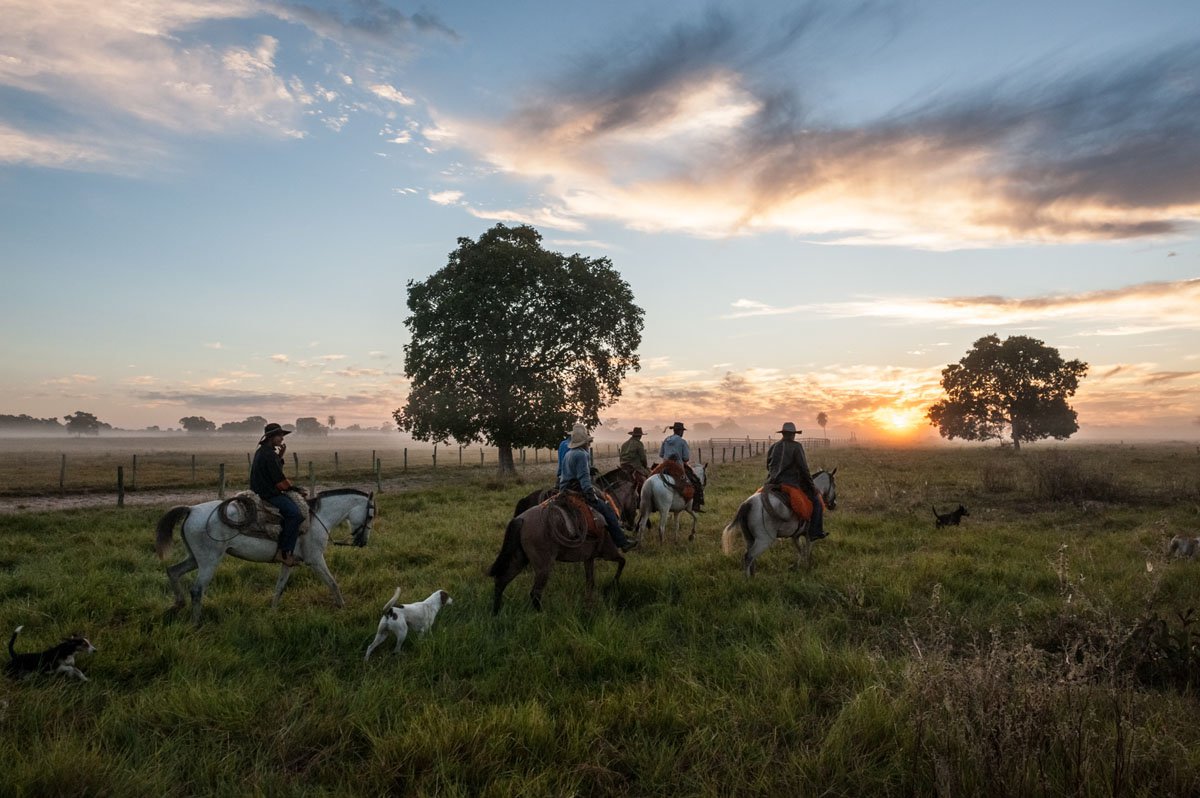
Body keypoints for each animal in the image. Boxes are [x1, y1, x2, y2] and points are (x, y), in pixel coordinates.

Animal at [153, 484, 374, 624]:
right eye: (371, 515)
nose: (363, 542)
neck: (317, 518)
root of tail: (191, 509)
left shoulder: (288, 562)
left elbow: (279, 588)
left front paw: (273, 612)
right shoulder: (316, 560)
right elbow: (332, 583)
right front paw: (343, 607)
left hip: (195, 559)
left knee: (173, 571)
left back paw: (178, 605)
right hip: (209, 561)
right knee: (197, 590)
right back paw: (196, 623)